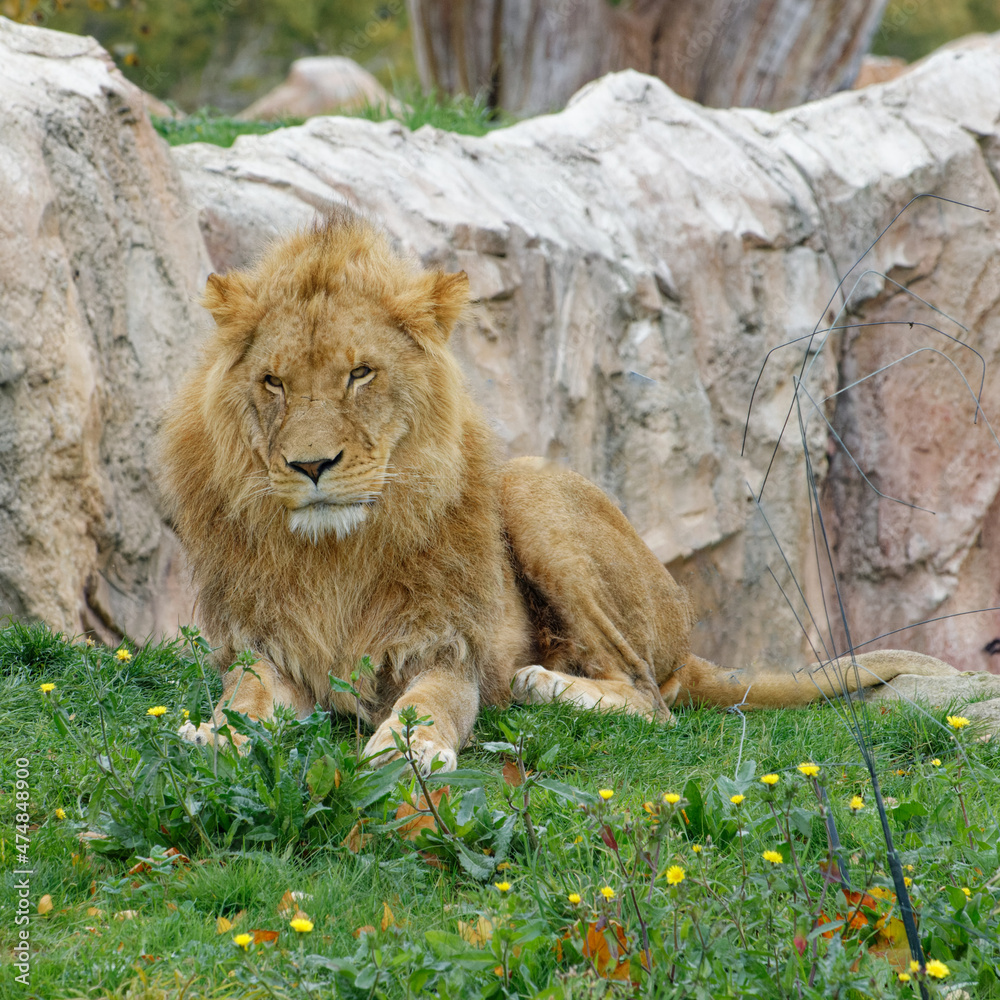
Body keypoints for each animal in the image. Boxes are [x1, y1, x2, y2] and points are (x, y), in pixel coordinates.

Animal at [160, 208, 957, 773]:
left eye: (360, 374)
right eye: (274, 382)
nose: (311, 465)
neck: (335, 552)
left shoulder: (448, 648)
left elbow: (430, 704)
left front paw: (409, 749)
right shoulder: (269, 648)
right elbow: (245, 697)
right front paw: (212, 734)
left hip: (530, 487)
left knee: (649, 696)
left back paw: (546, 684)